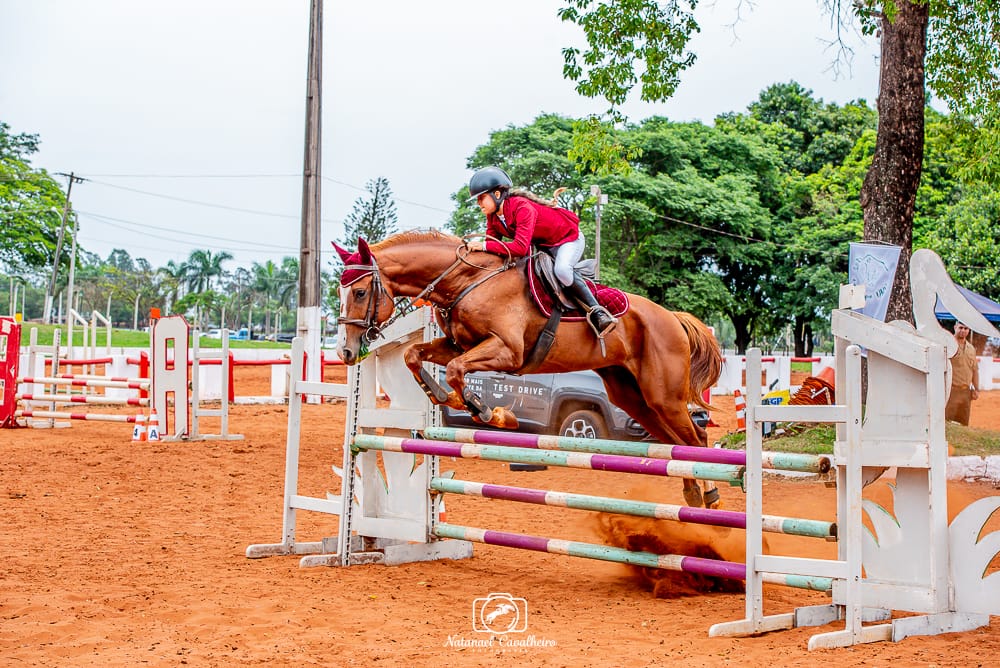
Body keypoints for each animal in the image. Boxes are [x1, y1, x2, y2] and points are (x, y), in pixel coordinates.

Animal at [332, 232, 724, 508]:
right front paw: (444, 396)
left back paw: (710, 495)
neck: (465, 282)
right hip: (632, 396)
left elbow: (458, 371)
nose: (346, 351)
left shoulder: (506, 352)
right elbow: (415, 355)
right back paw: (692, 493)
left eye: (361, 293)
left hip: (662, 394)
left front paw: (488, 412)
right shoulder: (458, 346)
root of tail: (671, 317)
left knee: (696, 439)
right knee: (676, 443)